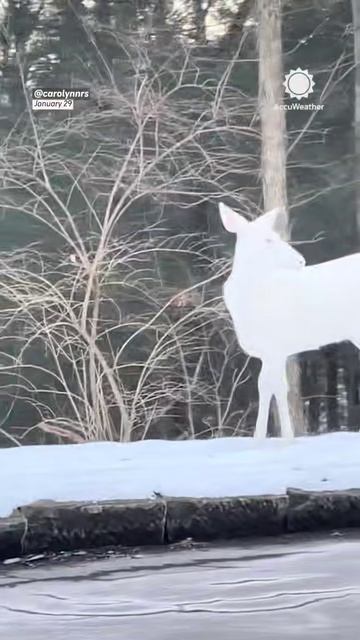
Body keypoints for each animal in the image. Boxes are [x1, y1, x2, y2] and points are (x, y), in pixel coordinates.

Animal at [219, 204, 360, 440]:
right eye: (268, 240)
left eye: (277, 236)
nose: (301, 260)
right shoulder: (272, 351)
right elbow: (272, 386)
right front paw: (271, 437)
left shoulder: (275, 345)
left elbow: (273, 386)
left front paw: (278, 438)